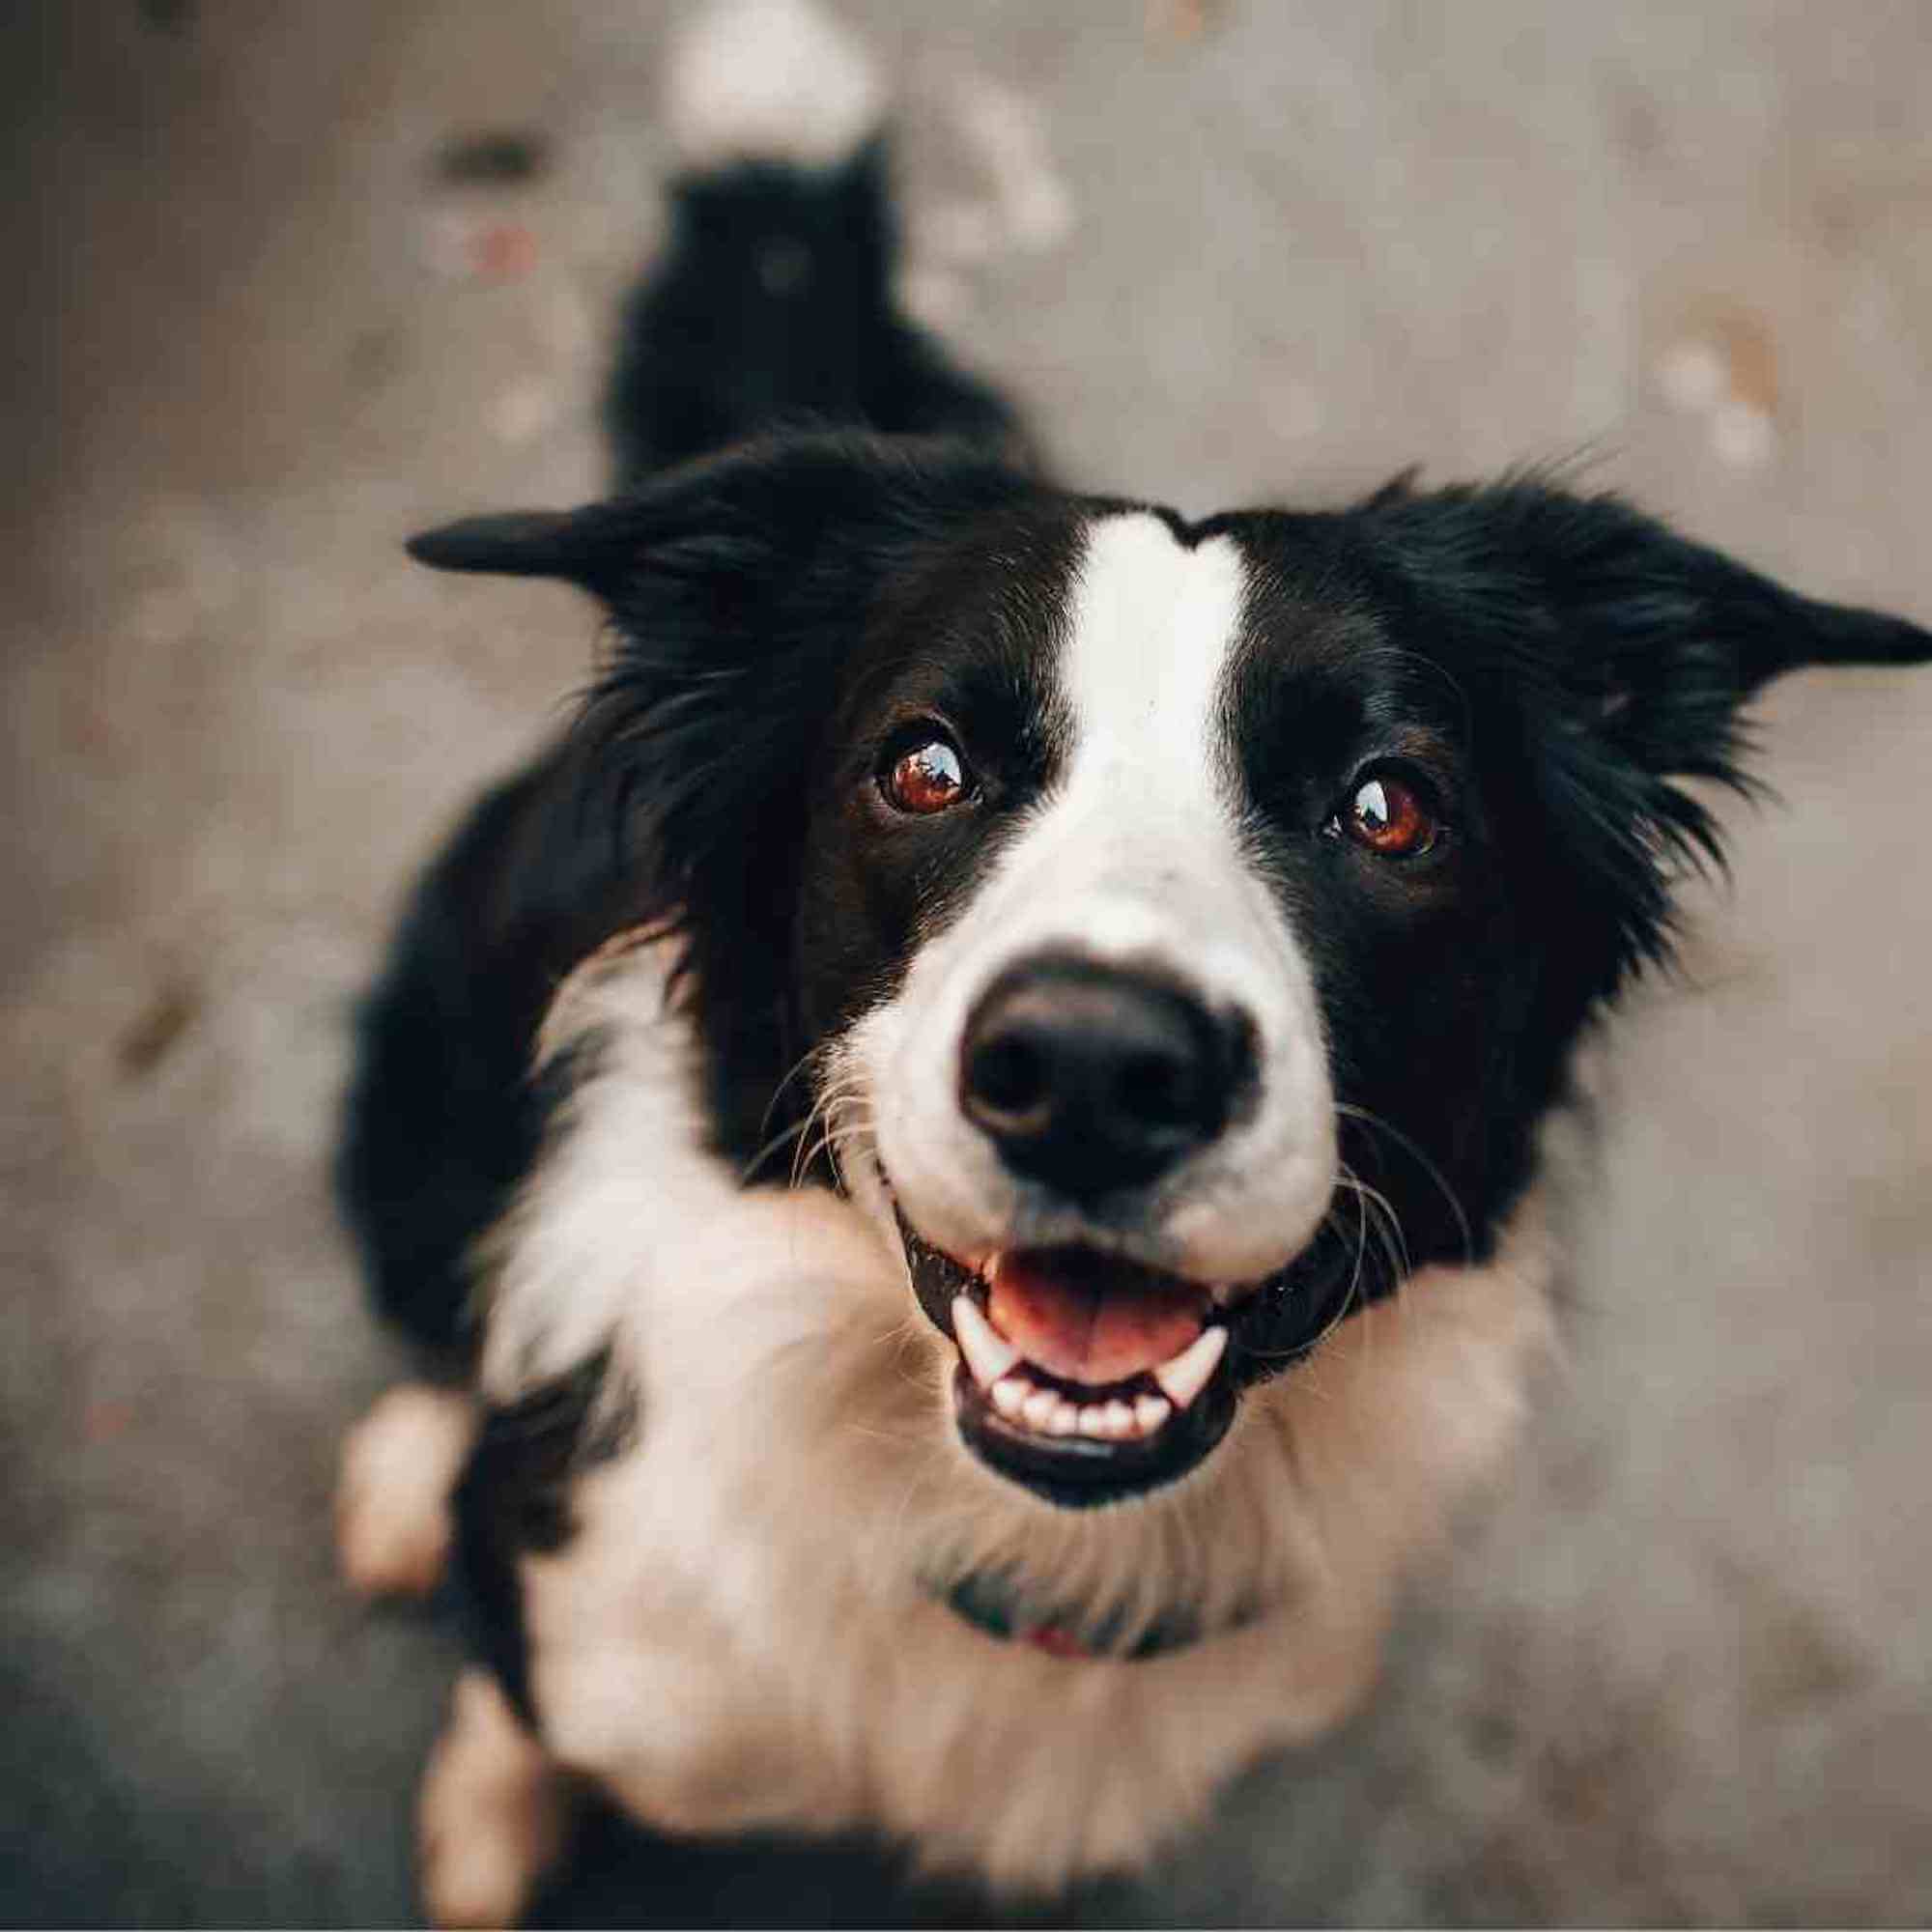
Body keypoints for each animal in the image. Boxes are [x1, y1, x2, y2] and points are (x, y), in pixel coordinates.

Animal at [332, 3, 1932, 1917]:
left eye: (1390, 806)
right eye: (925, 766)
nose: (1098, 1071)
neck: (1021, 1545)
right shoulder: (594, 1631)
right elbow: (517, 1703)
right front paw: (491, 1824)